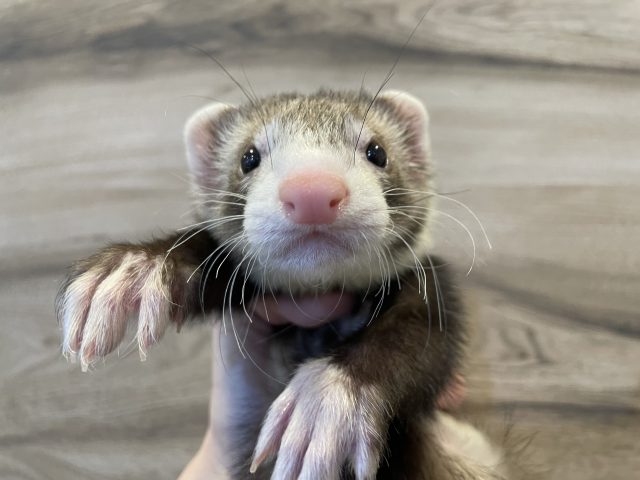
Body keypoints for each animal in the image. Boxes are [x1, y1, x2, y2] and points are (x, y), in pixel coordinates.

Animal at [57, 89, 505, 479]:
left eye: (377, 151)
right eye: (248, 157)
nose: (312, 190)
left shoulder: (431, 287)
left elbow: (417, 337)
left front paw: (326, 405)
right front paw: (138, 268)